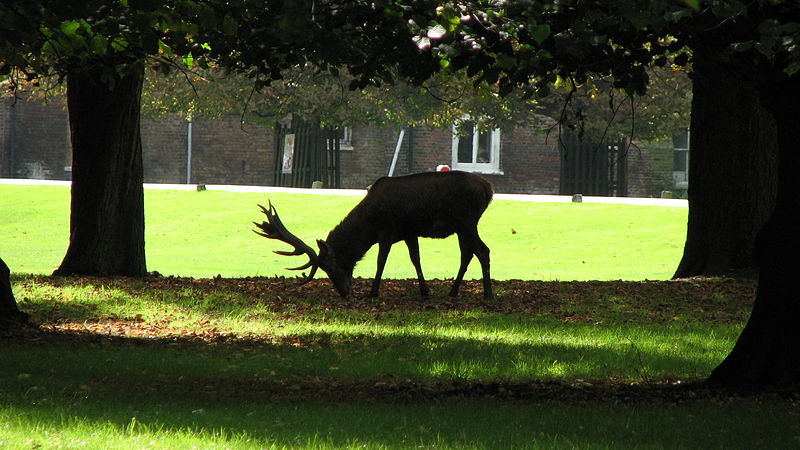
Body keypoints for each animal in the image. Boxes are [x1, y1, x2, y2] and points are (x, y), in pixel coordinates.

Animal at [255, 171, 494, 300]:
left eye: (331, 268)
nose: (344, 293)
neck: (368, 224)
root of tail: (487, 188)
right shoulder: (409, 231)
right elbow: (415, 259)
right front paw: (425, 291)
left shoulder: (387, 231)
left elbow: (381, 261)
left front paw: (373, 291)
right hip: (463, 226)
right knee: (468, 253)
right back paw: (453, 291)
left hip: (466, 220)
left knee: (483, 250)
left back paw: (488, 294)